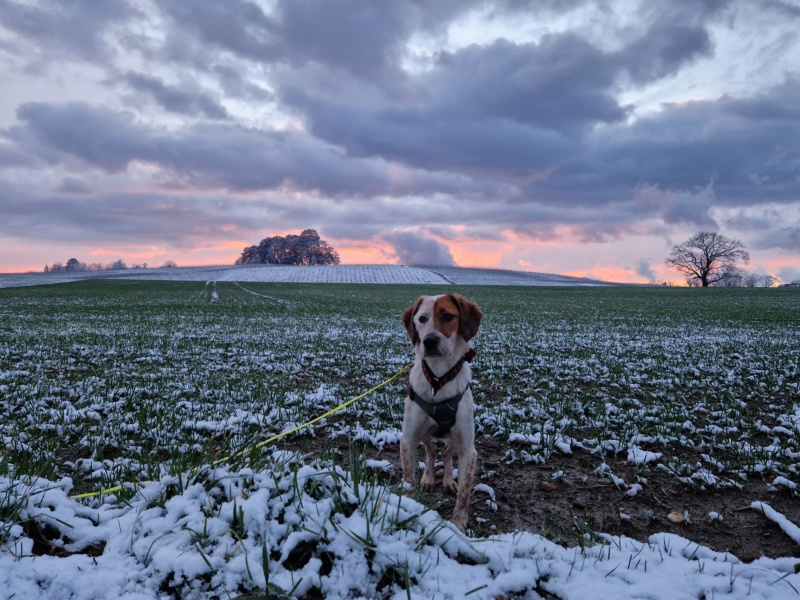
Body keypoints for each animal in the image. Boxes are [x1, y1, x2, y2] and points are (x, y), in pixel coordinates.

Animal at [400, 292, 482, 528]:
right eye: (422, 319)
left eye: (447, 316)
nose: (429, 341)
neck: (438, 380)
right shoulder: (408, 439)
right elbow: (408, 480)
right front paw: (409, 508)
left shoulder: (468, 448)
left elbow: (464, 492)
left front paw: (458, 525)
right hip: (425, 433)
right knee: (431, 452)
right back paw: (428, 478)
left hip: (453, 437)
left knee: (445, 454)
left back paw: (446, 480)